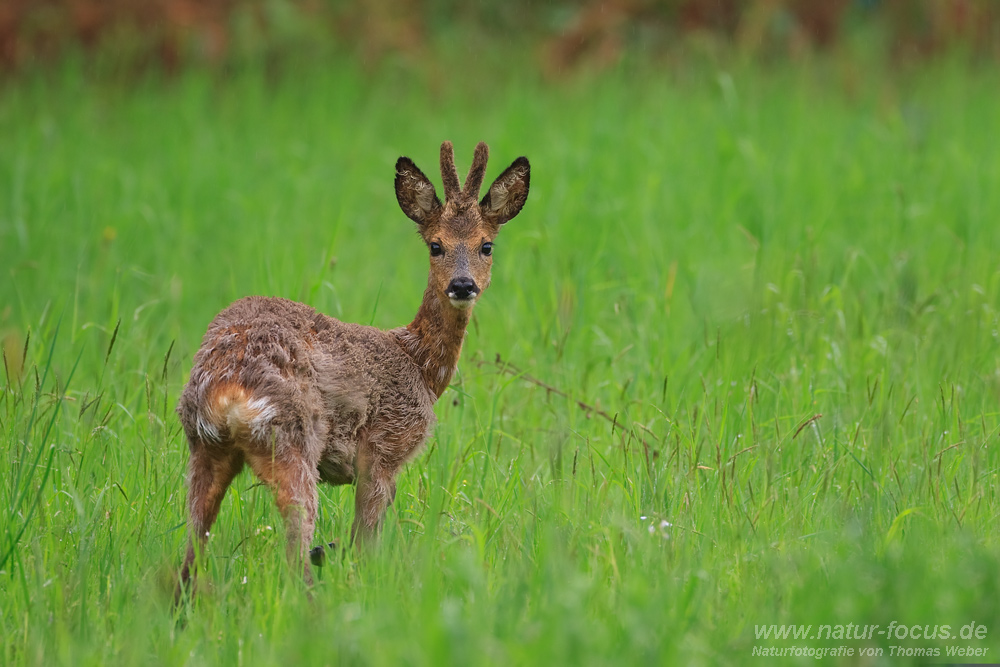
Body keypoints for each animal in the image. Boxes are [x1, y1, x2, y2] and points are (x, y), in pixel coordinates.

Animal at [177, 141, 532, 596]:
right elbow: (366, 545)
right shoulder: (384, 450)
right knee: (295, 546)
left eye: (487, 245)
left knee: (192, 546)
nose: (463, 285)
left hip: (203, 445)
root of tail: (228, 390)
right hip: (293, 439)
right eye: (435, 245)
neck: (419, 365)